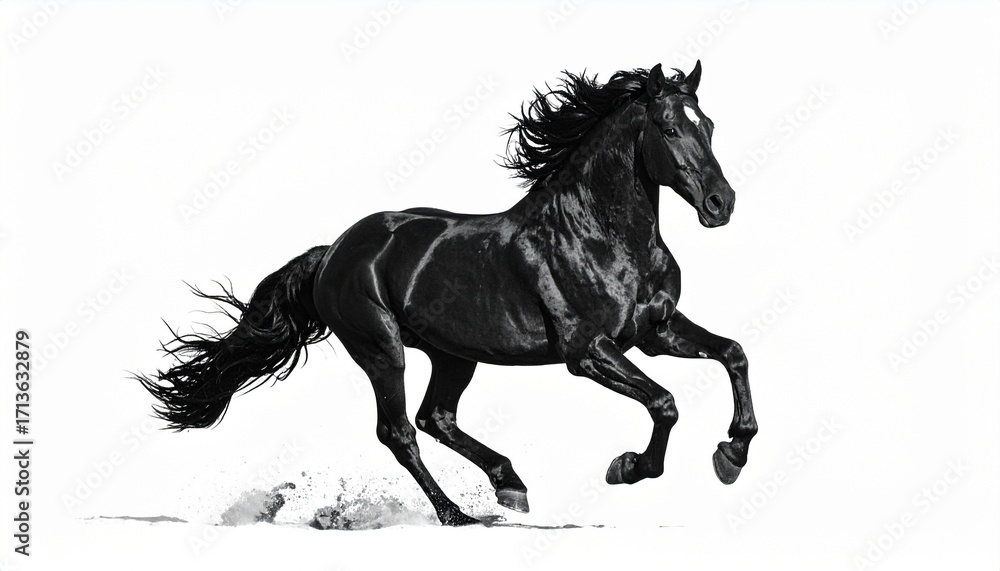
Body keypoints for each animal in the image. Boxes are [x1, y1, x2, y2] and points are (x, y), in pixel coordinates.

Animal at [138, 61, 758, 526]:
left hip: (454, 353)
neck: (600, 234)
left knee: (436, 417)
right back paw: (458, 515)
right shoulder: (587, 352)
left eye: (708, 125)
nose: (721, 204)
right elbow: (664, 402)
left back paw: (511, 486)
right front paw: (627, 467)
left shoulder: (655, 332)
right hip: (381, 347)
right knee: (400, 430)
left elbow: (732, 353)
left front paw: (731, 453)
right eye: (670, 129)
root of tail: (333, 252)